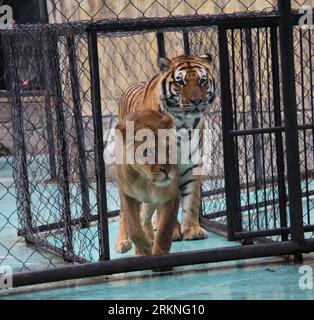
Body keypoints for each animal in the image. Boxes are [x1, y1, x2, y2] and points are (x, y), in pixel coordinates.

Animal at [114, 53, 216, 254]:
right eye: (180, 82)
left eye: (202, 81)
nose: (196, 101)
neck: (185, 124)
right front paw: (174, 231)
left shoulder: (193, 164)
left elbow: (192, 199)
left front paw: (192, 230)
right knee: (124, 213)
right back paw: (123, 242)